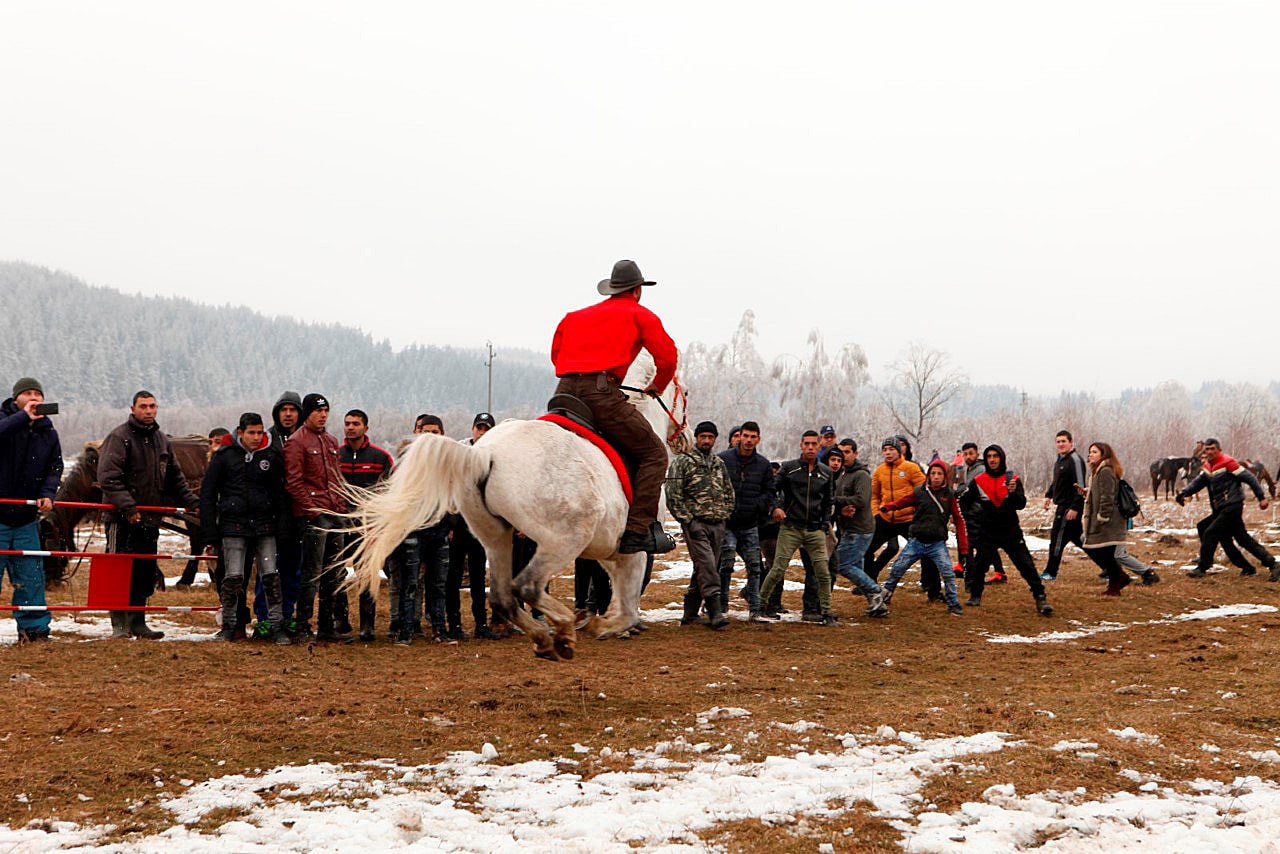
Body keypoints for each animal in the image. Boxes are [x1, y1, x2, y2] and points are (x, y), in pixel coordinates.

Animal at [350, 358, 686, 665]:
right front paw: (602, 625)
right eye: (683, 392)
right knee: (527, 587)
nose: (683, 437)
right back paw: (562, 629)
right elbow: (628, 609)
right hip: (562, 540)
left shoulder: (610, 553)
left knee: (502, 596)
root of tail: (484, 453)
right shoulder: (632, 551)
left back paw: (544, 638)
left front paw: (601, 623)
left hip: (497, 538)